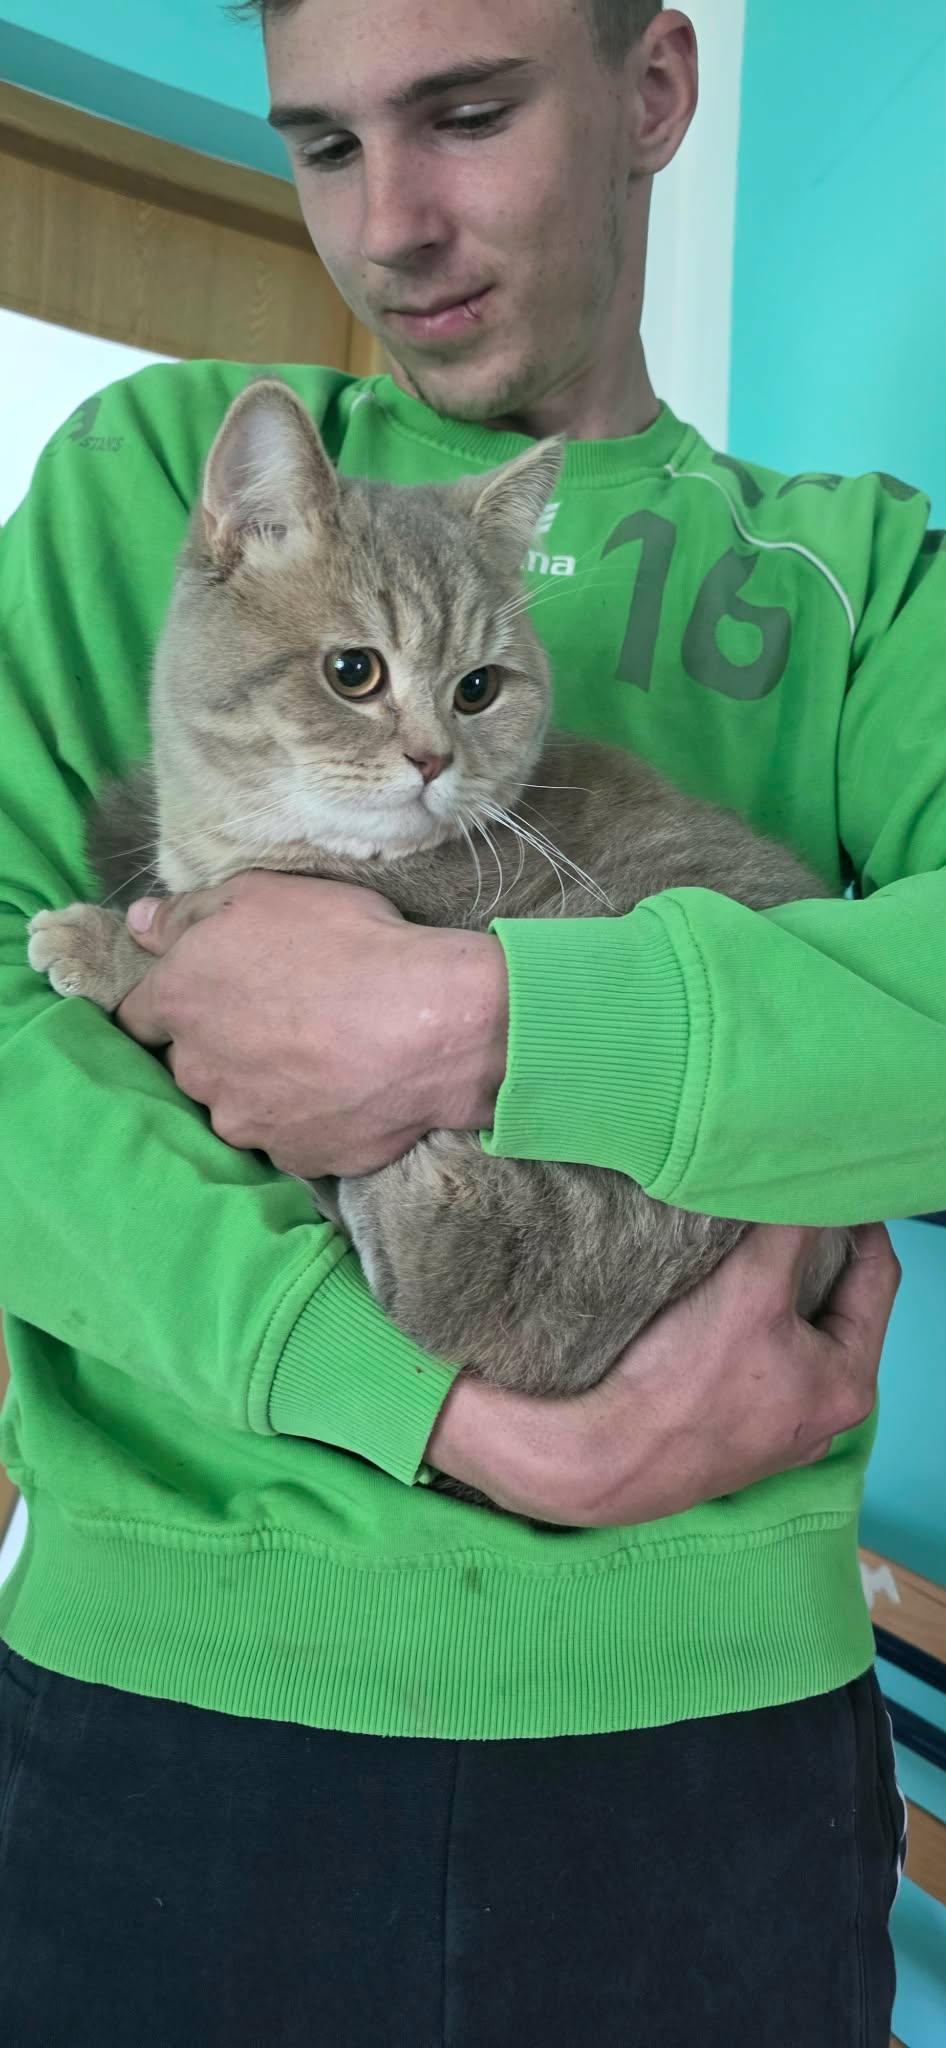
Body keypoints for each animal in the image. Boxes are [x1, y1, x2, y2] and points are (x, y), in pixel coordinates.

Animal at [29, 377, 852, 1414]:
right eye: (354, 671)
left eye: (477, 688)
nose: (431, 760)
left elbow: (175, 949)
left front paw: (101, 941)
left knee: (467, 1281)